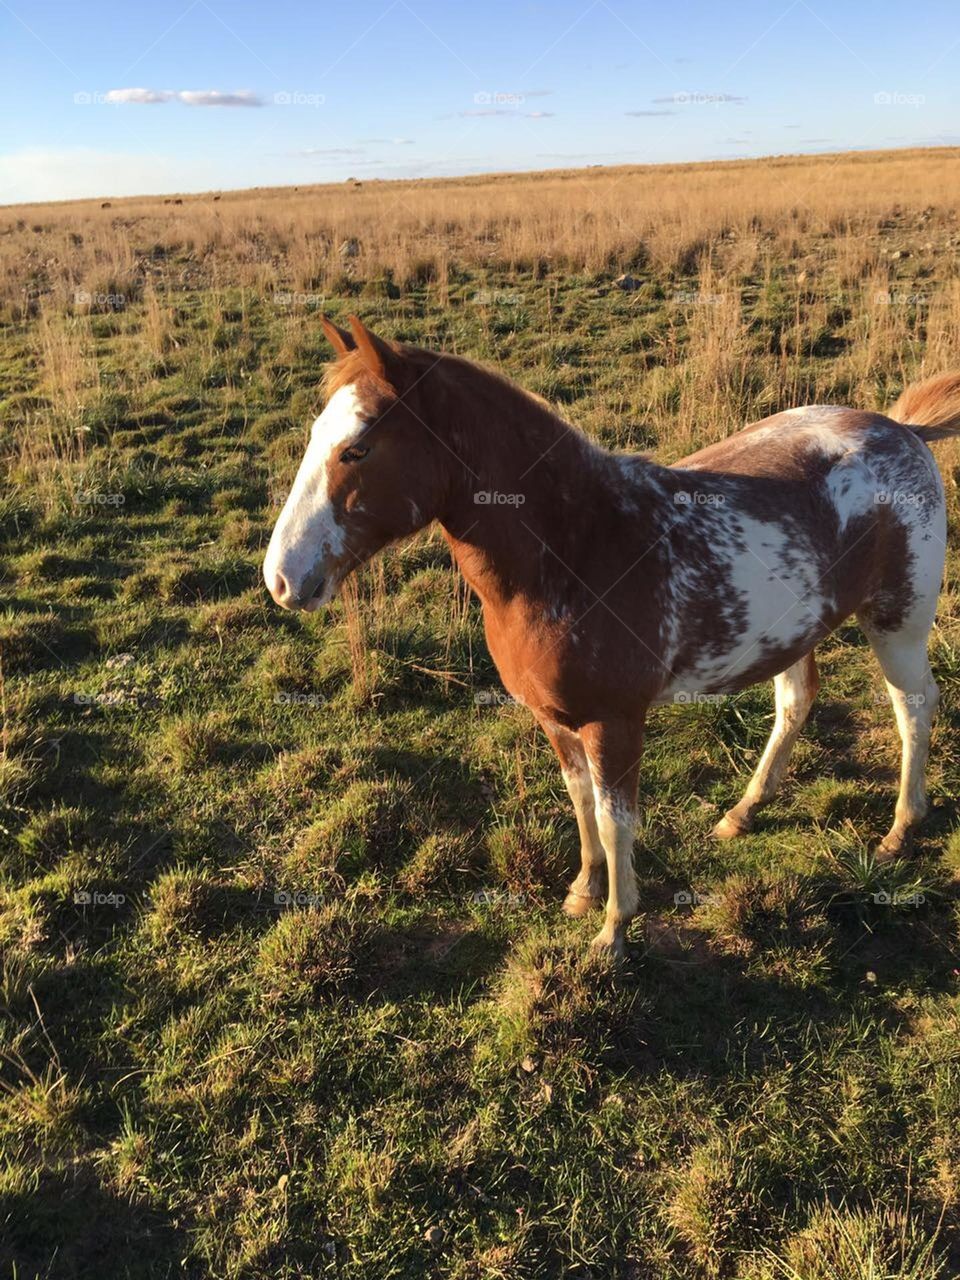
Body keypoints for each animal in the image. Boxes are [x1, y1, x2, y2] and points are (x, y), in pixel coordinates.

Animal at [264, 314, 960, 957]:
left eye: (358, 449)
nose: (282, 579)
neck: (577, 549)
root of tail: (903, 430)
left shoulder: (615, 722)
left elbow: (614, 818)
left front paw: (614, 931)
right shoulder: (555, 718)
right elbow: (580, 802)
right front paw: (582, 891)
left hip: (896, 622)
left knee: (914, 705)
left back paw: (900, 828)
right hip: (791, 632)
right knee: (796, 702)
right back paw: (743, 812)